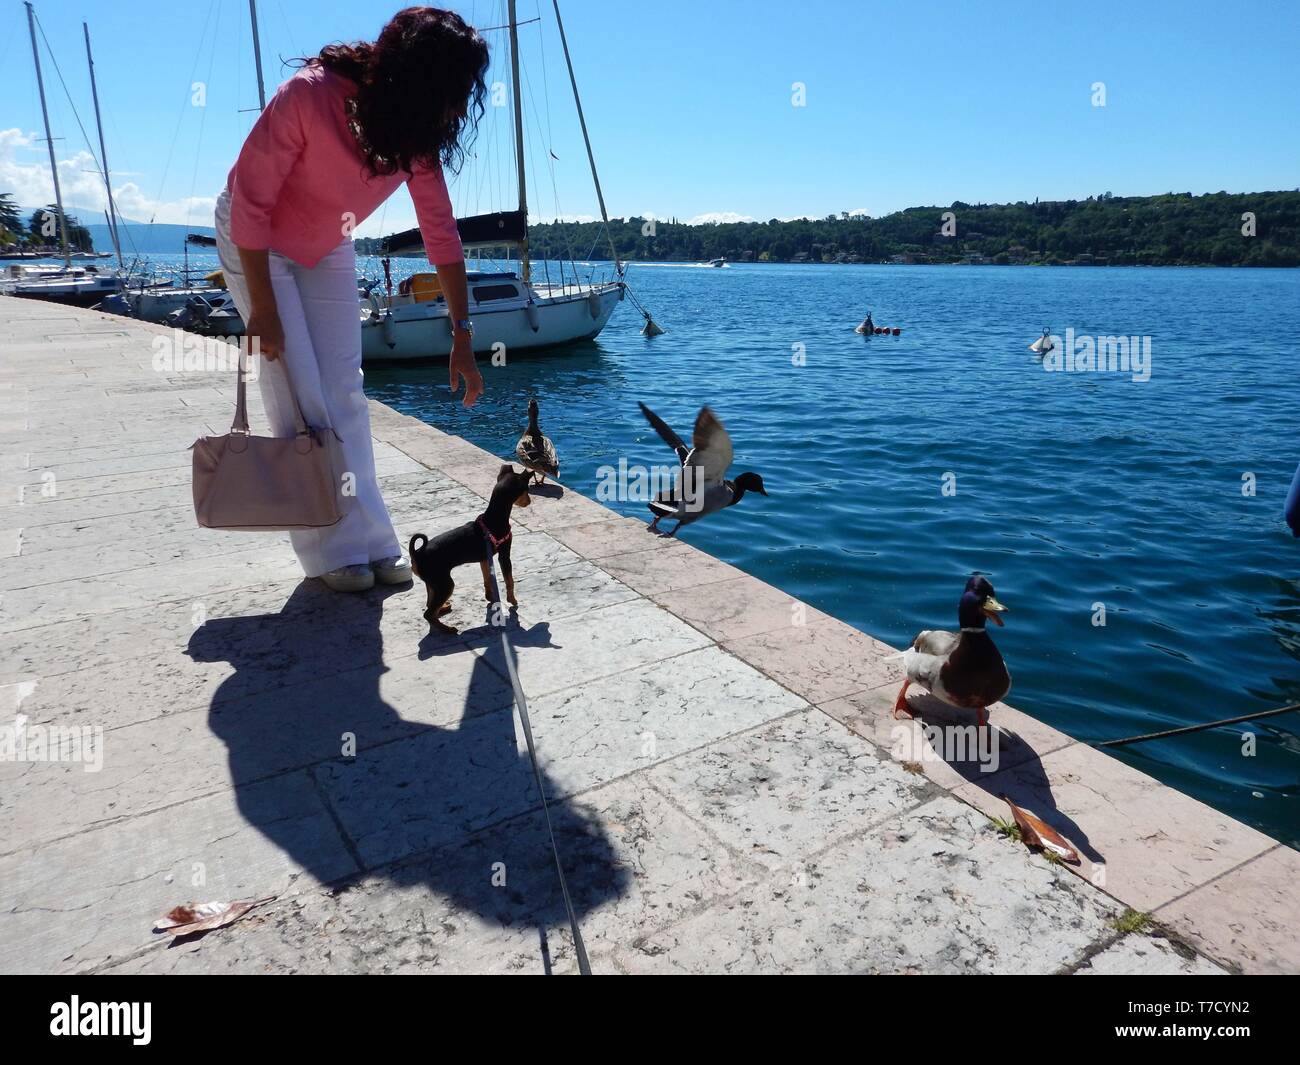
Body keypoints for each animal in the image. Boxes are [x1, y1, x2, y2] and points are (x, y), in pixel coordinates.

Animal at [405, 465, 527, 631]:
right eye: (527, 490)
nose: (529, 502)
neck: (493, 517)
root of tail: (416, 553)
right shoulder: (504, 556)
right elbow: (510, 580)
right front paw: (512, 600)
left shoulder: (484, 559)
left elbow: (487, 579)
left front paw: (490, 597)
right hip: (444, 584)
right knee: (428, 614)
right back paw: (447, 629)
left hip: (433, 582)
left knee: (430, 603)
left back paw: (443, 609)